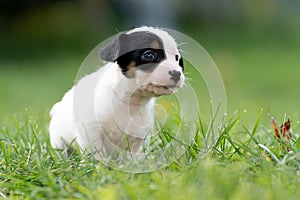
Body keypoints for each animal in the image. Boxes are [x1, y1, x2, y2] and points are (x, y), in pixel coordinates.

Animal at [48, 25, 185, 155]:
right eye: (149, 55)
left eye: (177, 59)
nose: (177, 73)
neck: (130, 101)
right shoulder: (90, 131)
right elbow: (97, 155)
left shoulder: (137, 137)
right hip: (59, 141)